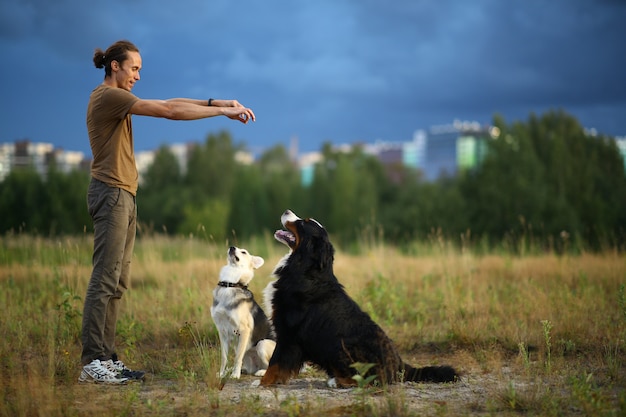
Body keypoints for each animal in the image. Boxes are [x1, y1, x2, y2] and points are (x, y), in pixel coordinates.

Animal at [211, 245, 274, 378]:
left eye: (244, 252)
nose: (232, 247)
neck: (230, 284)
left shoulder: (244, 330)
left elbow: (237, 357)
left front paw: (235, 375)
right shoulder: (222, 331)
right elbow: (224, 357)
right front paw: (222, 374)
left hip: (262, 344)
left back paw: (260, 372)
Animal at [258, 210, 458, 388]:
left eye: (303, 222)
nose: (286, 211)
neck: (305, 269)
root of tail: (399, 362)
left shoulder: (288, 334)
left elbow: (275, 363)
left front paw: (263, 383)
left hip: (341, 347)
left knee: (373, 379)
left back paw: (338, 382)